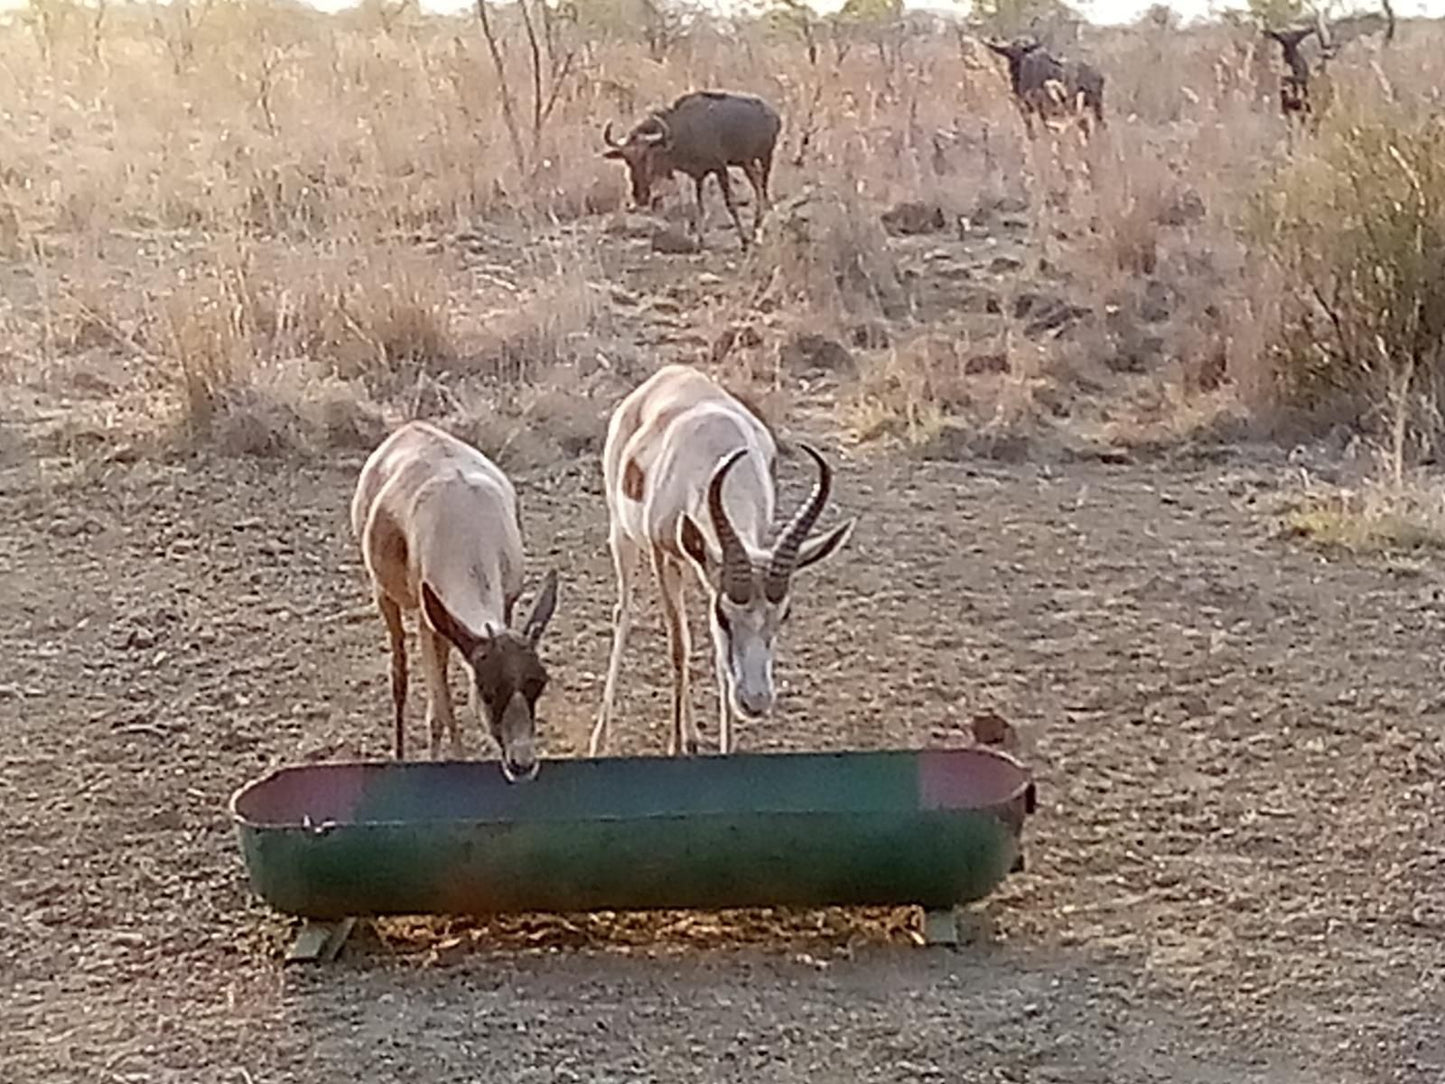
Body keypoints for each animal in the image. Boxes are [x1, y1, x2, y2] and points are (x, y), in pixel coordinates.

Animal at [352, 419, 560, 780]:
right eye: (487, 691)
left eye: (539, 682)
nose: (522, 764)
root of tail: (409, 428)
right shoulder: (427, 620)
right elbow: (439, 710)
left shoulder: (504, 605)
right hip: (387, 597)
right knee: (400, 674)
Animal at [589, 361, 855, 757]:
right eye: (725, 616)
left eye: (784, 614)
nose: (755, 701)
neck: (713, 447)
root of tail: (667, 374)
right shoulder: (663, 555)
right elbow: (678, 646)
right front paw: (674, 745)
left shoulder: (719, 567)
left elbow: (717, 658)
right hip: (625, 536)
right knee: (625, 614)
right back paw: (601, 739)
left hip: (691, 562)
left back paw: (693, 735)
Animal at [598, 90, 780, 250]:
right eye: (627, 160)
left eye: (647, 156)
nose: (639, 196)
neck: (684, 130)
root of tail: (773, 114)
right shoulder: (698, 175)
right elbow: (699, 207)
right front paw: (700, 241)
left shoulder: (720, 168)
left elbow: (731, 204)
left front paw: (743, 241)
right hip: (747, 163)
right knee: (758, 188)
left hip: (765, 158)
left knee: (763, 192)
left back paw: (757, 232)